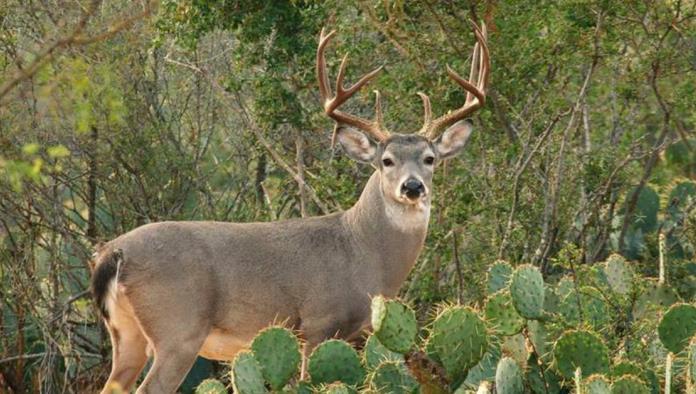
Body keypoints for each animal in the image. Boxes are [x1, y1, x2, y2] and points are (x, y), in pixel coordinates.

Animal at [91, 22, 490, 394]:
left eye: (430, 159)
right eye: (387, 161)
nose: (412, 186)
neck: (363, 250)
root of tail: (113, 252)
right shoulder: (318, 323)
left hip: (126, 333)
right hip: (178, 328)